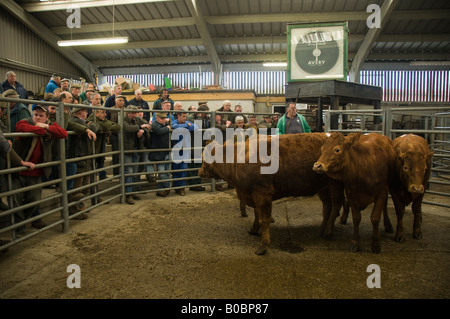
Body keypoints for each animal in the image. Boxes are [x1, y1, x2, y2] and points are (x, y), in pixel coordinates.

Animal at [199, 134, 342, 256]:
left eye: (203, 158)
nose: (199, 172)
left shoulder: (262, 193)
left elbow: (264, 219)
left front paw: (263, 245)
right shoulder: (254, 195)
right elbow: (257, 214)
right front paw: (254, 229)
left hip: (335, 184)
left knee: (336, 205)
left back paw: (328, 232)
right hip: (323, 188)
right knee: (327, 206)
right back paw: (321, 230)